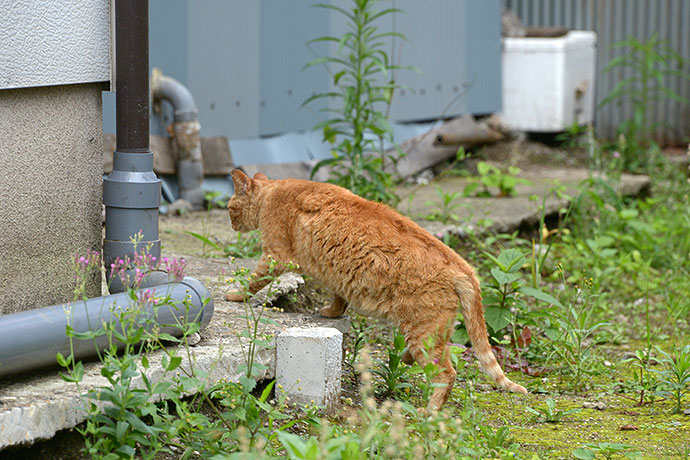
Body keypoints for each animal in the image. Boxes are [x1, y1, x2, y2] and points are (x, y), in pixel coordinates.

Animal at [223, 169, 524, 410]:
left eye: (229, 209)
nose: (232, 225)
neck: (273, 192)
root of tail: (464, 267)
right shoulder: (336, 277)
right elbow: (339, 298)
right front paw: (332, 312)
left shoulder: (277, 255)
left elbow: (253, 281)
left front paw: (236, 295)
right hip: (430, 331)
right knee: (433, 357)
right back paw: (406, 360)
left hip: (423, 332)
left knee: (446, 374)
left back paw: (429, 412)